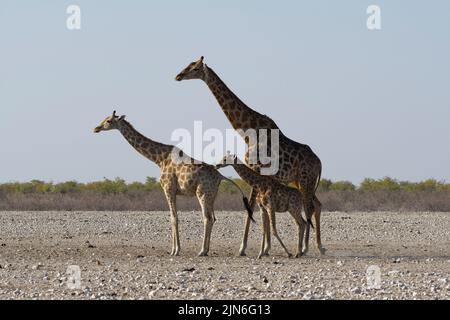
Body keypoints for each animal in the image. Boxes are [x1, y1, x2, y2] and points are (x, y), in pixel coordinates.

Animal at [93, 111, 253, 256]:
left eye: (108, 121)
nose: (96, 128)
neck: (159, 159)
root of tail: (220, 176)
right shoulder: (174, 191)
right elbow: (174, 217)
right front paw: (175, 249)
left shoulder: (168, 188)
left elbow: (173, 218)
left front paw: (175, 250)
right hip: (212, 195)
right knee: (213, 218)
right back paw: (206, 250)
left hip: (201, 193)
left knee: (207, 218)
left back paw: (201, 251)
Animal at [174, 55, 326, 255]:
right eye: (189, 64)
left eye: (195, 68)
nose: (178, 76)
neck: (247, 131)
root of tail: (319, 162)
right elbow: (259, 211)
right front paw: (265, 248)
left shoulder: (257, 169)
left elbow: (251, 209)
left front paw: (243, 248)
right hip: (298, 181)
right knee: (316, 205)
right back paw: (319, 247)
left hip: (305, 179)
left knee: (310, 207)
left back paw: (306, 248)